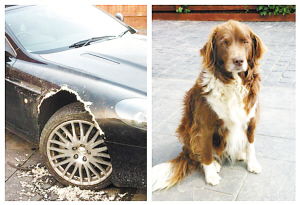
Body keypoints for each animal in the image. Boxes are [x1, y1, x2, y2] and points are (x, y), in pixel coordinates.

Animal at [154, 19, 266, 191]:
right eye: (224, 42)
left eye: (245, 42)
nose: (238, 61)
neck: (232, 83)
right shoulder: (205, 126)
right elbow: (206, 152)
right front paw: (211, 176)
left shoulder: (251, 120)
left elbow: (251, 145)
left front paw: (252, 164)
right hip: (188, 132)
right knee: (197, 154)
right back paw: (214, 164)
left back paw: (239, 154)